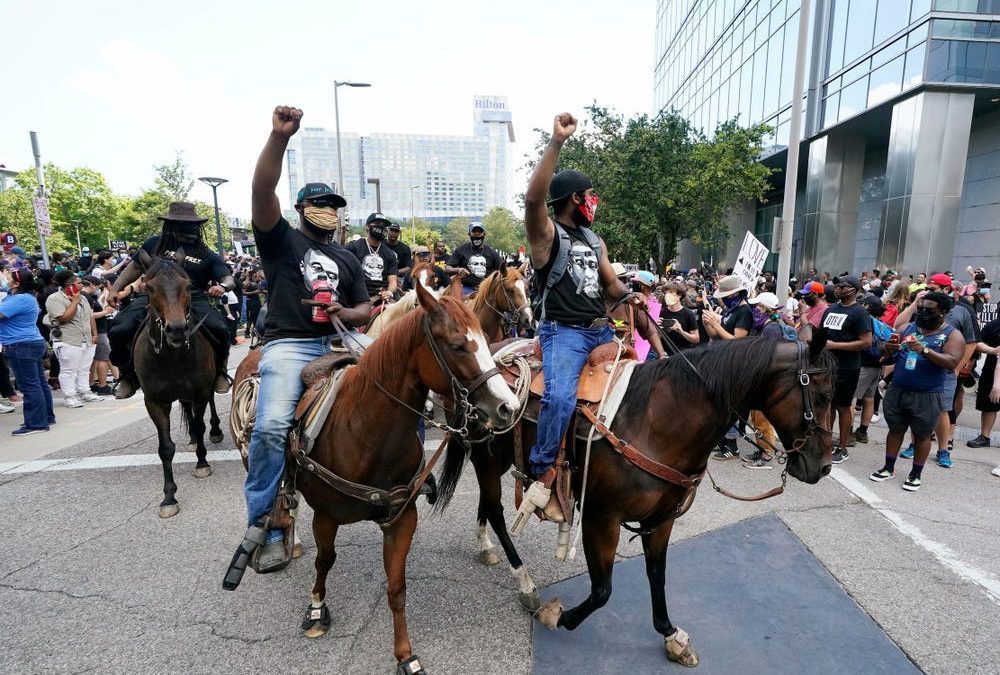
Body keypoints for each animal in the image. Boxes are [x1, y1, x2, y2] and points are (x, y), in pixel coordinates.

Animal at [134, 251, 224, 520]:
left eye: (187, 286)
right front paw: (169, 497)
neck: (170, 357)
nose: (176, 330)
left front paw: (202, 463)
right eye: (149, 287)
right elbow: (165, 448)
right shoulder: (154, 401)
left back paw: (213, 432)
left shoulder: (200, 391)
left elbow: (200, 423)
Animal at [438, 332, 836, 664]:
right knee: (496, 510)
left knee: (487, 505)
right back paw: (524, 582)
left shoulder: (660, 520)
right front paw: (556, 615)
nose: (824, 466)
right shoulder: (601, 517)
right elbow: (602, 590)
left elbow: (657, 575)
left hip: (497, 456)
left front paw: (671, 636)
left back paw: (485, 545)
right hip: (486, 456)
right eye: (823, 396)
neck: (656, 423)